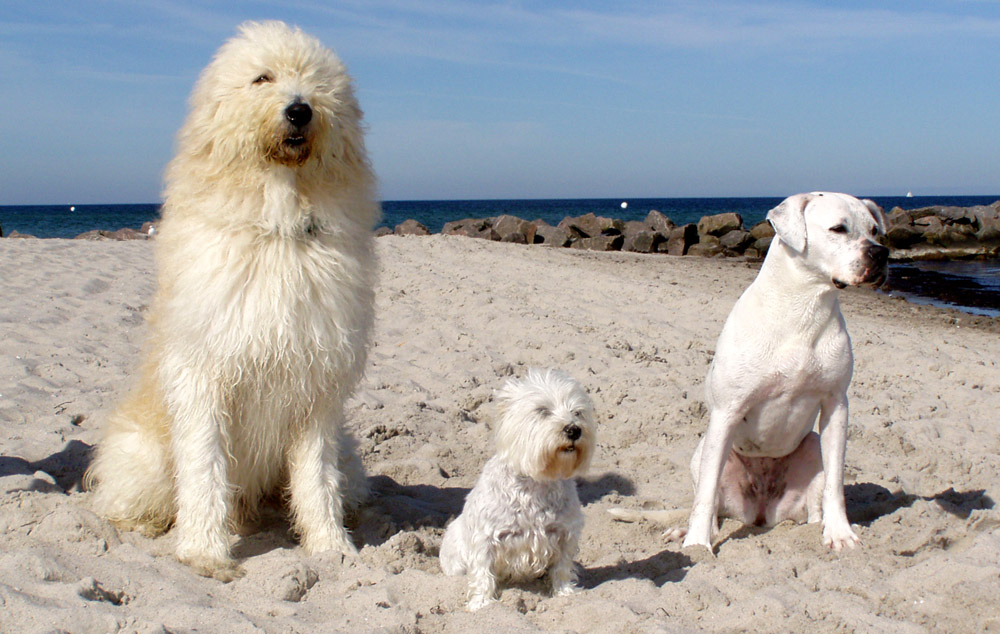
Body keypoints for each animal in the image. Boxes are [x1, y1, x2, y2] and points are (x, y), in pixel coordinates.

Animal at [83, 21, 376, 576]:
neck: (278, 229)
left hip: (349, 457)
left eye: (317, 83)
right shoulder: (204, 375)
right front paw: (204, 552)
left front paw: (330, 546)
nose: (300, 110)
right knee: (123, 499)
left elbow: (316, 478)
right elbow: (204, 468)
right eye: (263, 78)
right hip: (143, 456)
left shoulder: (317, 391)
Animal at [438, 368, 592, 608]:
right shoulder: (485, 538)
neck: (537, 481)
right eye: (542, 410)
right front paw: (481, 604)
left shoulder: (566, 534)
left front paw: (565, 594)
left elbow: (562, 568)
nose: (574, 430)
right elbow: (482, 572)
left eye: (578, 412)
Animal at [676, 190, 888, 552]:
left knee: (816, 499)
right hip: (704, 450)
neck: (804, 307)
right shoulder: (727, 411)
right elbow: (705, 493)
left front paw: (840, 533)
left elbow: (836, 482)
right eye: (838, 228)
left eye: (875, 230)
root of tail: (761, 513)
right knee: (710, 496)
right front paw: (697, 545)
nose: (881, 253)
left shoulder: (836, 404)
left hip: (813, 448)